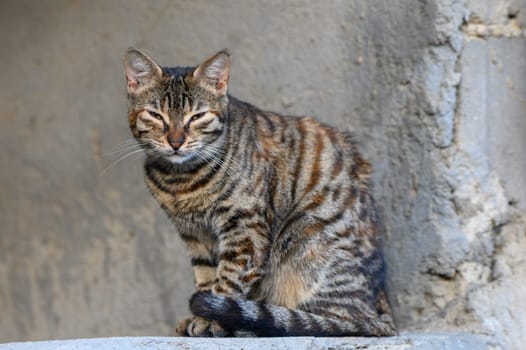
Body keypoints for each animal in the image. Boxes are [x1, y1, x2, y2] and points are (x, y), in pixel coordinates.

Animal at [124, 47, 396, 336]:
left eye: (197, 117)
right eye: (156, 115)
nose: (176, 142)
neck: (180, 180)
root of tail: (383, 308)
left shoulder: (245, 230)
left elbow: (228, 279)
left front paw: (212, 320)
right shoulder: (194, 235)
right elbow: (205, 276)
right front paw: (200, 316)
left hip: (307, 239)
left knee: (338, 321)